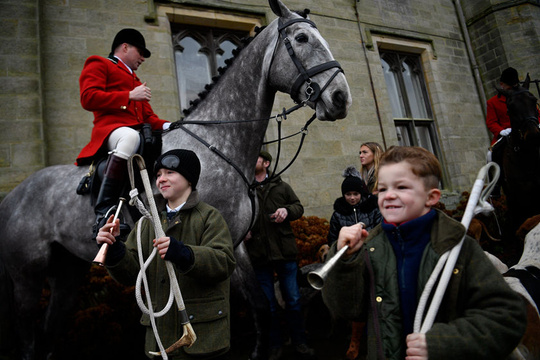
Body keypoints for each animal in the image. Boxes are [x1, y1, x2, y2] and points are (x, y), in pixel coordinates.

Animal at [0, 0, 350, 360]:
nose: (340, 98)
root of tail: (13, 196)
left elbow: (260, 304)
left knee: (49, 328)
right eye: (302, 38)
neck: (215, 145)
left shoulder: (232, 243)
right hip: (27, 275)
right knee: (27, 333)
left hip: (66, 272)